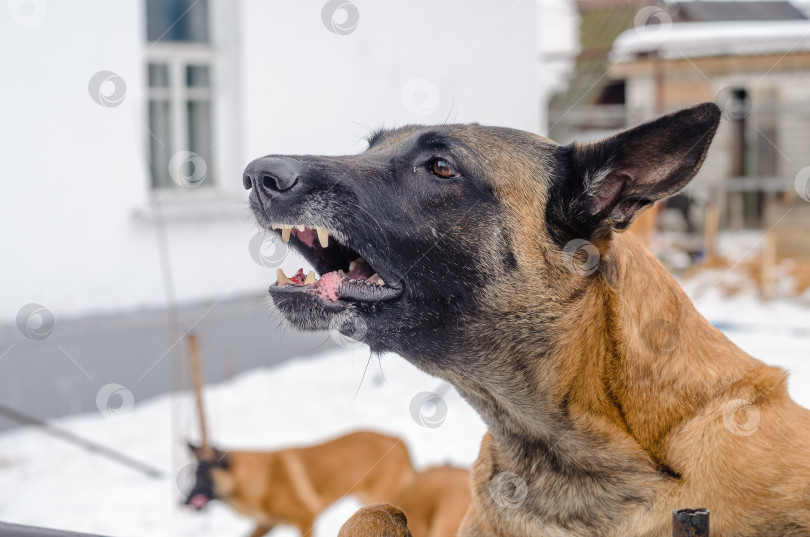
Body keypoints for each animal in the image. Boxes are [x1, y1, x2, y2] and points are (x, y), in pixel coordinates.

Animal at [182, 432, 410, 536]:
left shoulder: (306, 519)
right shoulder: (266, 524)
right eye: (193, 475)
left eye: (202, 476)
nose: (183, 502)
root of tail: (398, 440)